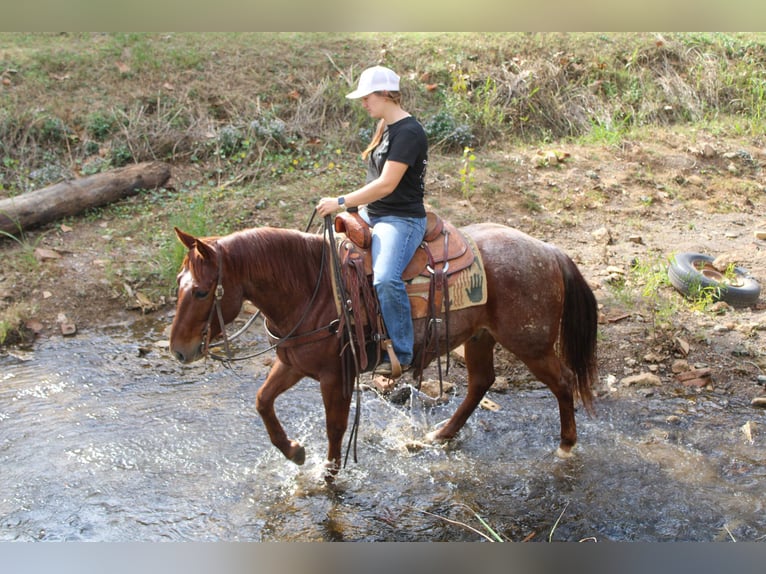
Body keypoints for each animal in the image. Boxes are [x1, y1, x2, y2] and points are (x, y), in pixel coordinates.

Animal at [169, 219, 598, 480]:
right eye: (178, 282)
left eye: (202, 291)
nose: (179, 351)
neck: (312, 289)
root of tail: (549, 251)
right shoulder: (292, 364)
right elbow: (262, 401)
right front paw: (294, 452)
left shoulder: (334, 376)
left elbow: (336, 426)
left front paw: (329, 477)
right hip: (481, 337)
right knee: (480, 383)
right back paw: (439, 435)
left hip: (530, 343)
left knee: (562, 382)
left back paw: (565, 447)